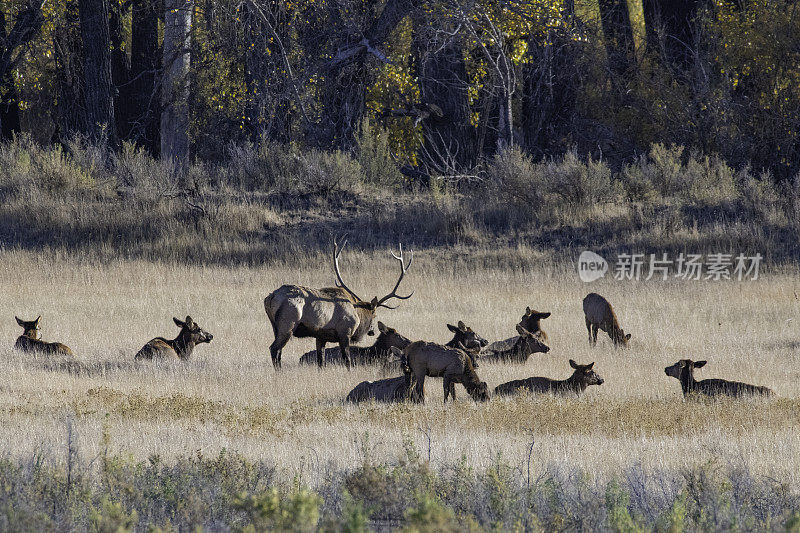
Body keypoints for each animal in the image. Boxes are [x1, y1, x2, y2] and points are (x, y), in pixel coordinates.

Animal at [266, 240, 416, 370]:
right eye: (374, 315)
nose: (372, 331)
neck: (357, 312)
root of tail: (270, 297)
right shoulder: (345, 332)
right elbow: (347, 359)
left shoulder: (320, 336)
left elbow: (321, 361)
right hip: (288, 324)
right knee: (274, 349)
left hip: (275, 327)